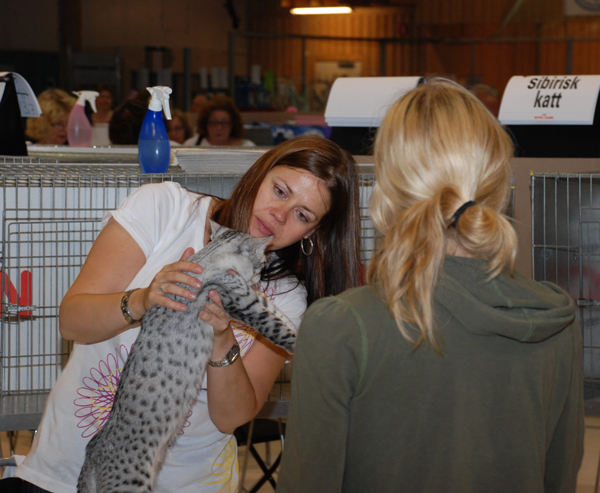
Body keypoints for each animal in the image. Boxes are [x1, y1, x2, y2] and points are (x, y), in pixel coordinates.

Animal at [77, 222, 298, 492]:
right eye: (261, 263)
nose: (259, 276)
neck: (210, 258)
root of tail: (92, 452)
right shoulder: (242, 303)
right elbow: (280, 330)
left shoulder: (252, 298)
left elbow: (283, 316)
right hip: (131, 484)